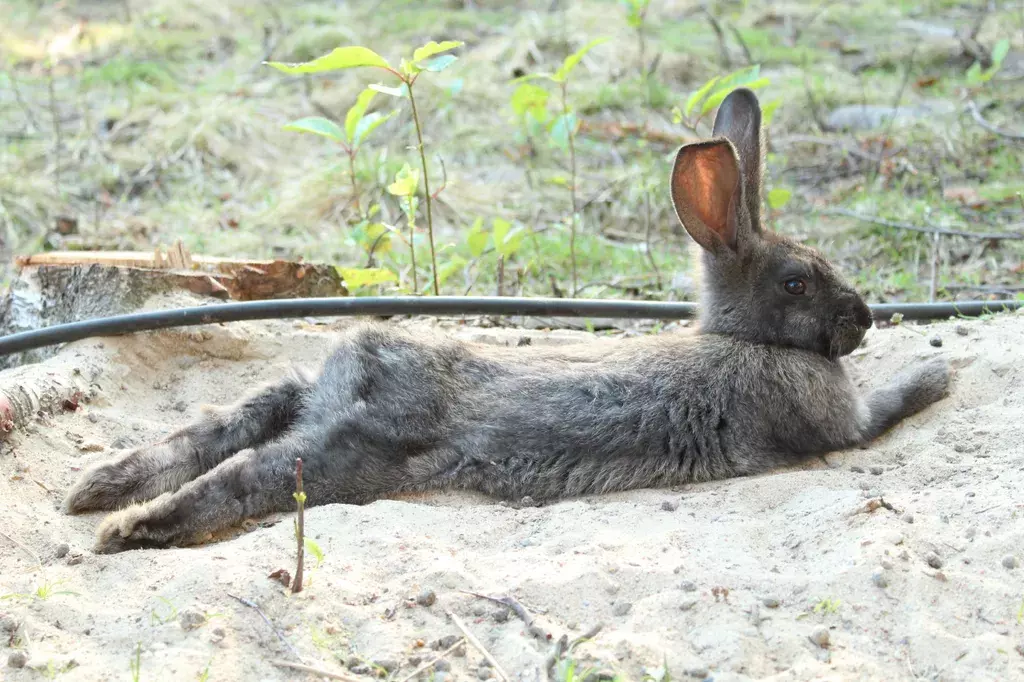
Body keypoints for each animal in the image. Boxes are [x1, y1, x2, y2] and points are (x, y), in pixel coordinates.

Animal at [59, 87, 946, 552]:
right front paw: (935, 373)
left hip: (302, 402)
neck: (743, 337)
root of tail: (357, 373)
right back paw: (126, 529)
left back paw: (93, 492)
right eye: (798, 282)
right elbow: (881, 411)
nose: (864, 319)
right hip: (347, 455)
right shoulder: (837, 422)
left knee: (224, 423)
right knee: (250, 475)